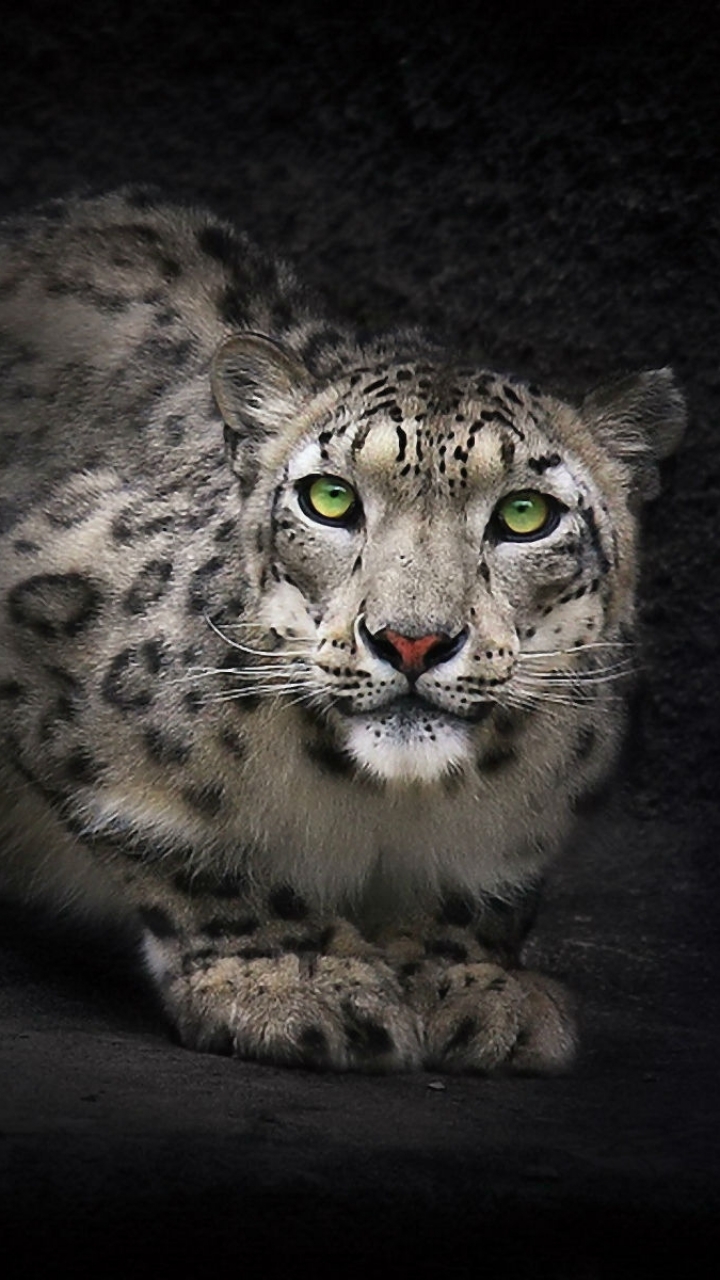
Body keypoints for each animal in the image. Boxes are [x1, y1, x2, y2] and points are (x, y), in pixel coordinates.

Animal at [0, 189, 685, 1072]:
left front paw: (470, 981)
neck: (386, 806)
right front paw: (293, 976)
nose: (411, 640)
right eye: (328, 498)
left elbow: (485, 891)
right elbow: (189, 852)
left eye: (527, 515)